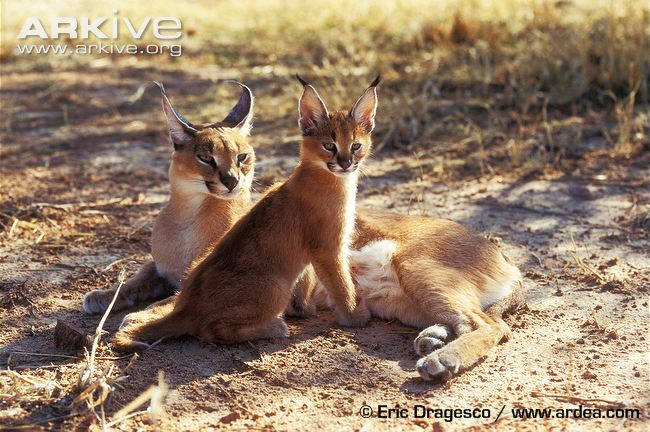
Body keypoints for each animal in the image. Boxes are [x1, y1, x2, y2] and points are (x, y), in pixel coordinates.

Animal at [114, 76, 382, 350]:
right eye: (329, 145)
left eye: (356, 146)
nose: (346, 163)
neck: (330, 178)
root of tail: (185, 307)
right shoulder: (327, 248)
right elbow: (341, 283)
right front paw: (354, 317)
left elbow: (308, 281)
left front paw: (306, 309)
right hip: (275, 285)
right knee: (211, 330)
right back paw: (275, 327)